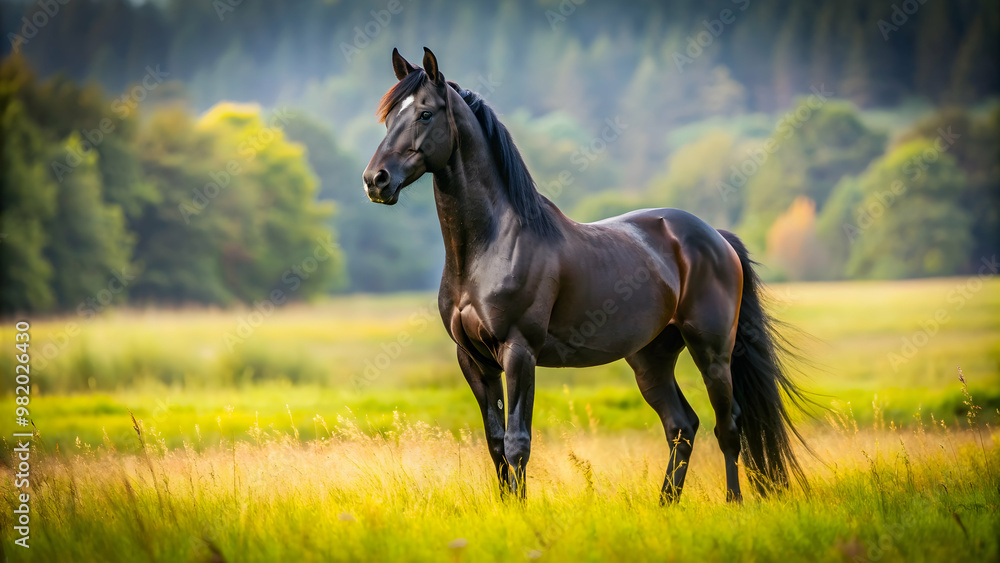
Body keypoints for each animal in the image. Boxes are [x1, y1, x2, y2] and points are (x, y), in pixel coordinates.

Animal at [362, 47, 809, 503]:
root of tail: (715, 238)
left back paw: (733, 503)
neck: (489, 247)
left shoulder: (518, 352)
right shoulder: (473, 359)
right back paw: (666, 505)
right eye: (389, 117)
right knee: (682, 426)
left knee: (728, 426)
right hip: (651, 358)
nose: (376, 180)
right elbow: (495, 443)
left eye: (425, 114)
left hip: (712, 350)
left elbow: (517, 443)